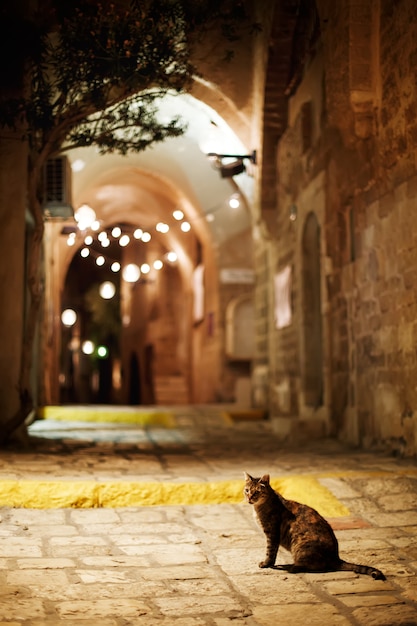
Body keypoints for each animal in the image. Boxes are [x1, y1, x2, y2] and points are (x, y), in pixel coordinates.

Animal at [242, 470, 386, 576]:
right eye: (247, 490)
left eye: (256, 492)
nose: (249, 498)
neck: (260, 507)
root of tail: (335, 557)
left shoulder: (272, 533)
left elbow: (270, 552)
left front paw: (266, 563)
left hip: (301, 547)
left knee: (319, 567)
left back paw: (293, 567)